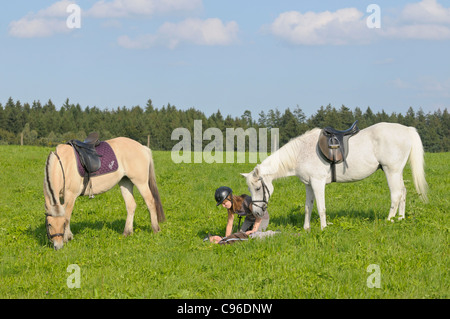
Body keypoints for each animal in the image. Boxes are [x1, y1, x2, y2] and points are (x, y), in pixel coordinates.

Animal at [243, 122, 428, 230]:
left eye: (258, 188)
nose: (257, 212)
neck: (301, 152)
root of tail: (407, 129)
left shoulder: (317, 183)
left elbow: (321, 207)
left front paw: (324, 228)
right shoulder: (308, 185)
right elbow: (308, 207)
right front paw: (306, 228)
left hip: (391, 171)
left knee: (396, 194)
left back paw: (389, 220)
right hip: (397, 171)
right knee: (403, 192)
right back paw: (401, 218)